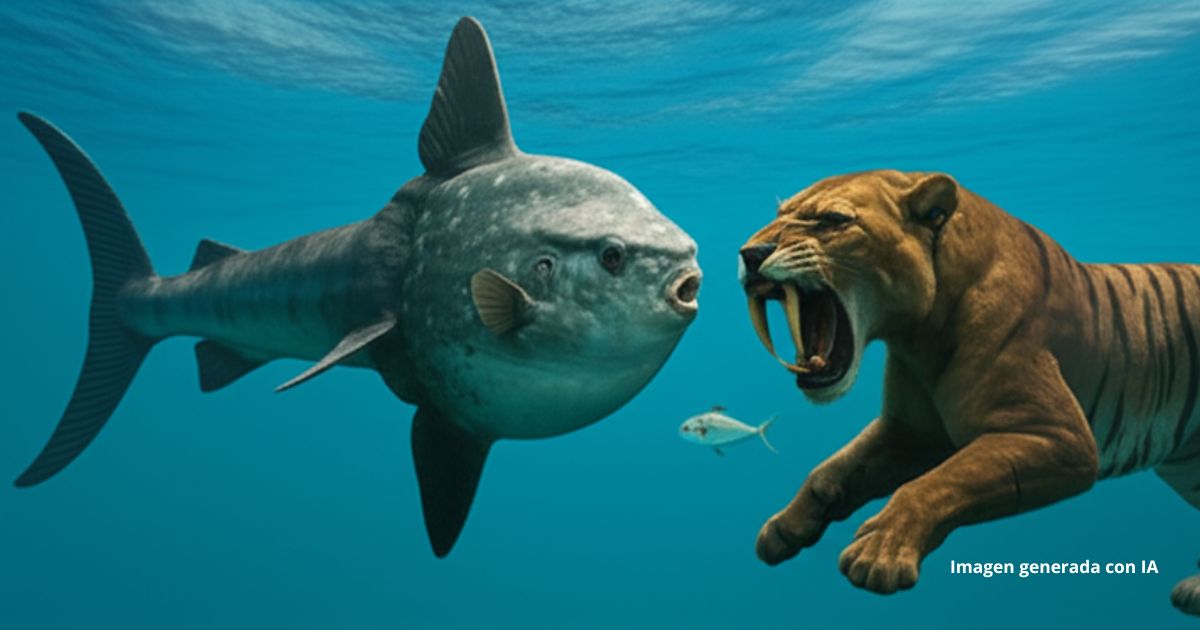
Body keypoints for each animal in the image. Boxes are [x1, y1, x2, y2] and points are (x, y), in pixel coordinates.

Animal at [737, 169, 1200, 615]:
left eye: (832, 219)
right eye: (779, 213)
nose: (748, 253)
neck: (919, 333)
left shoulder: (1059, 437)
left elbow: (938, 483)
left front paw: (878, 552)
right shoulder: (911, 433)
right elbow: (831, 470)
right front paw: (783, 529)